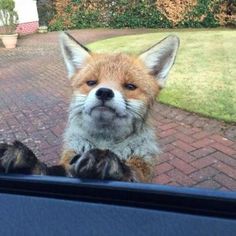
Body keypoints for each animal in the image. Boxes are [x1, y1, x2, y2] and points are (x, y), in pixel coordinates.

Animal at [0, 31, 179, 183]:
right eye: (92, 82)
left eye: (130, 86)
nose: (104, 92)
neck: (105, 142)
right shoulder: (68, 161)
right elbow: (48, 170)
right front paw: (27, 161)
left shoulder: (141, 168)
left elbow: (129, 173)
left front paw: (107, 161)